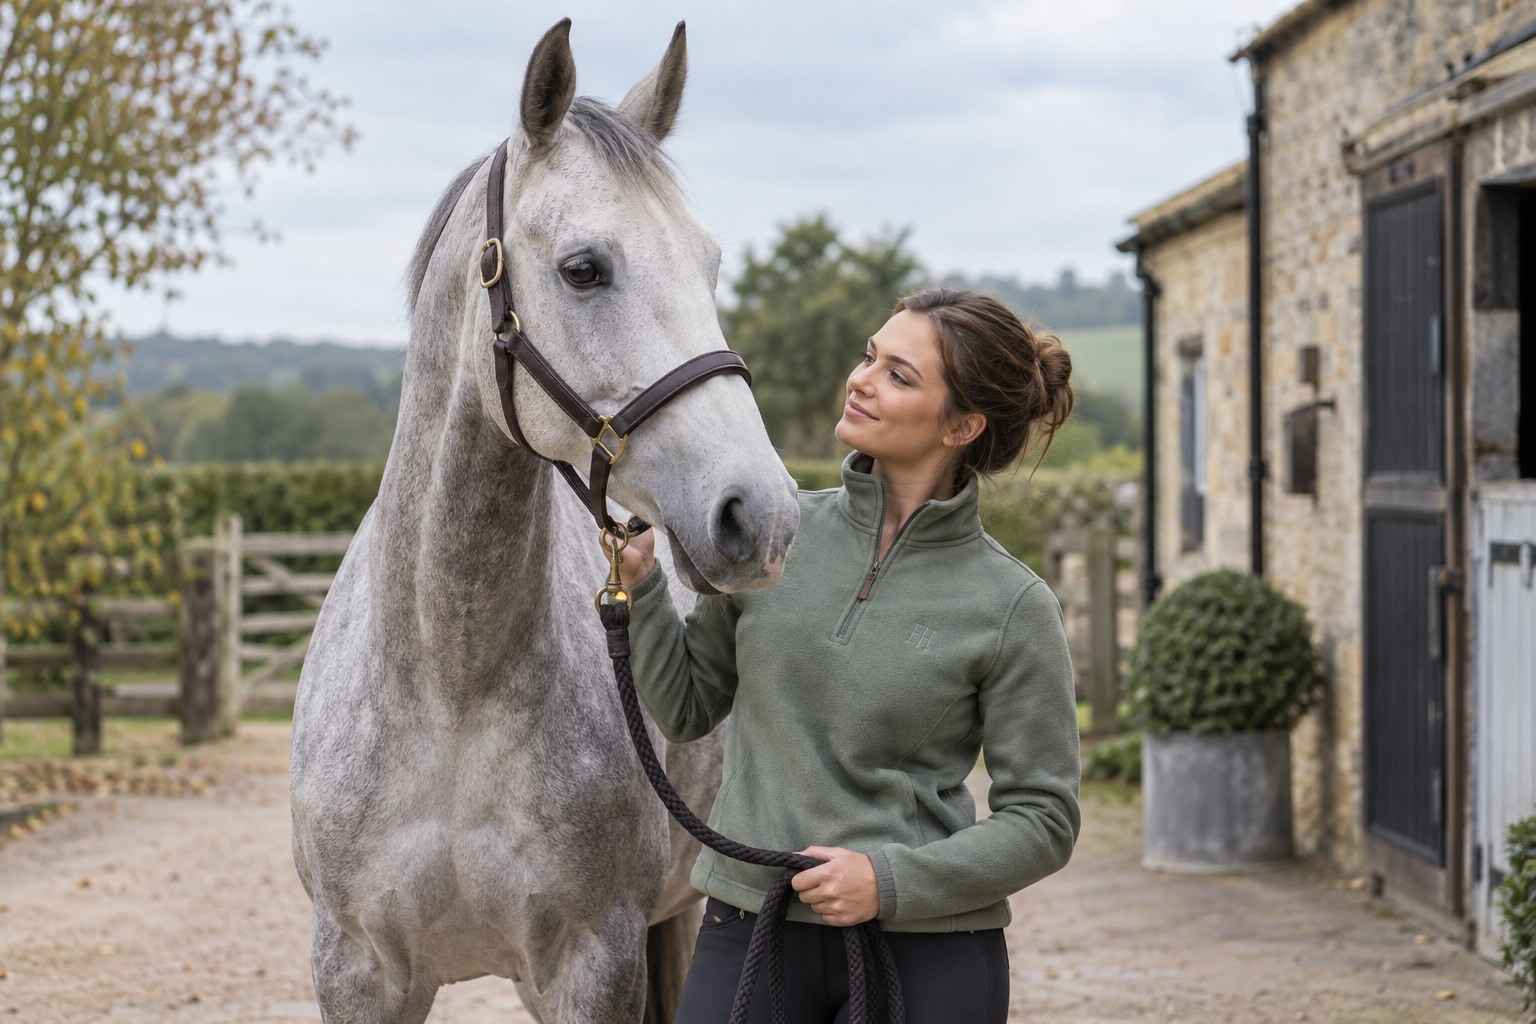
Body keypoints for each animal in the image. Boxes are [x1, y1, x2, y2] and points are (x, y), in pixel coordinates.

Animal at [290, 20, 801, 1023]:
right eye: (584, 269)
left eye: (712, 265)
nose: (758, 516)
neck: (449, 685)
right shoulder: (355, 967)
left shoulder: (590, 961)